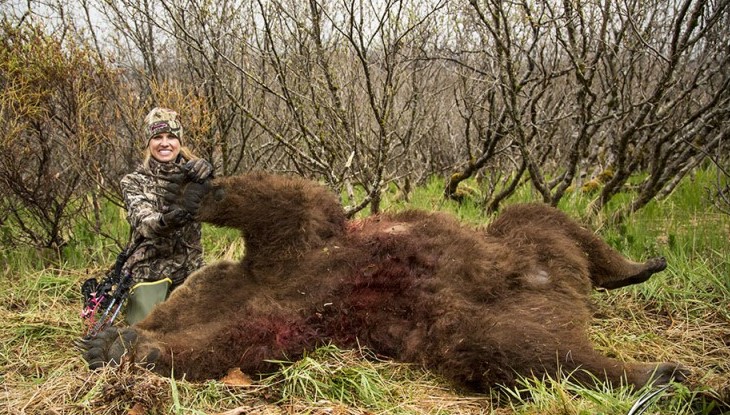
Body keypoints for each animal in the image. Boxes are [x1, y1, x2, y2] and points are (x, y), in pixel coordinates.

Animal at [81, 171, 688, 394]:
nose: (100, 328)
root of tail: (557, 287)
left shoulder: (303, 249)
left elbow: (288, 200)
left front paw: (198, 190)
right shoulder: (290, 313)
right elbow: (227, 345)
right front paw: (123, 345)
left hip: (519, 249)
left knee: (539, 221)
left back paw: (643, 293)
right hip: (503, 298)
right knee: (519, 347)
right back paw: (652, 367)